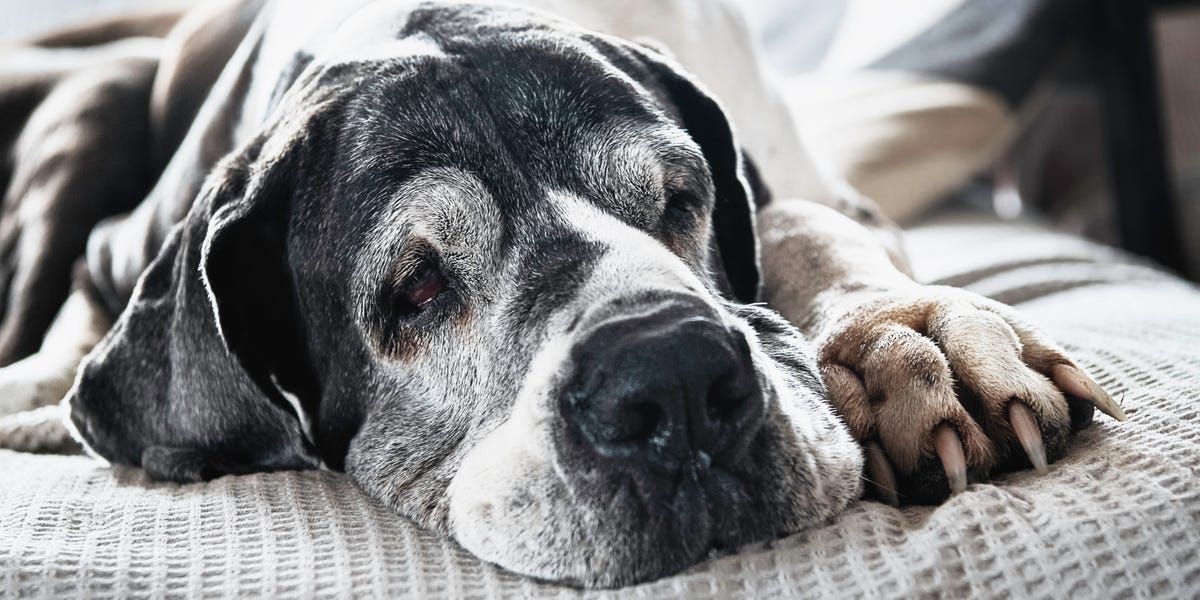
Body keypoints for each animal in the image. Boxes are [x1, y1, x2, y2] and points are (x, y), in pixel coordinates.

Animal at [0, 0, 1123, 588]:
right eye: (416, 286)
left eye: (680, 199)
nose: (673, 383)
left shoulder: (818, 190)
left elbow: (806, 224)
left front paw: (911, 337)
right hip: (86, 115)